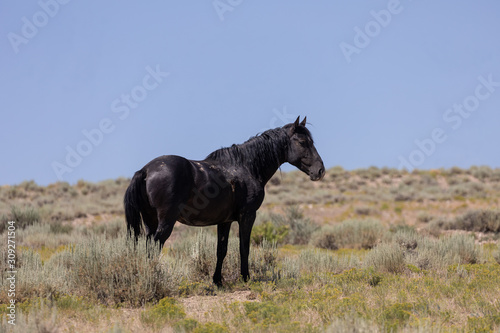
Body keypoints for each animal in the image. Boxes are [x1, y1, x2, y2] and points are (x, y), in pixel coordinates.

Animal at [125, 115, 324, 284]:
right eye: (302, 142)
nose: (320, 170)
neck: (245, 166)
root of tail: (146, 170)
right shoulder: (247, 215)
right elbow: (244, 247)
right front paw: (245, 278)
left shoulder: (225, 221)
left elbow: (222, 250)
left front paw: (217, 281)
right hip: (166, 221)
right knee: (155, 246)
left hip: (150, 221)